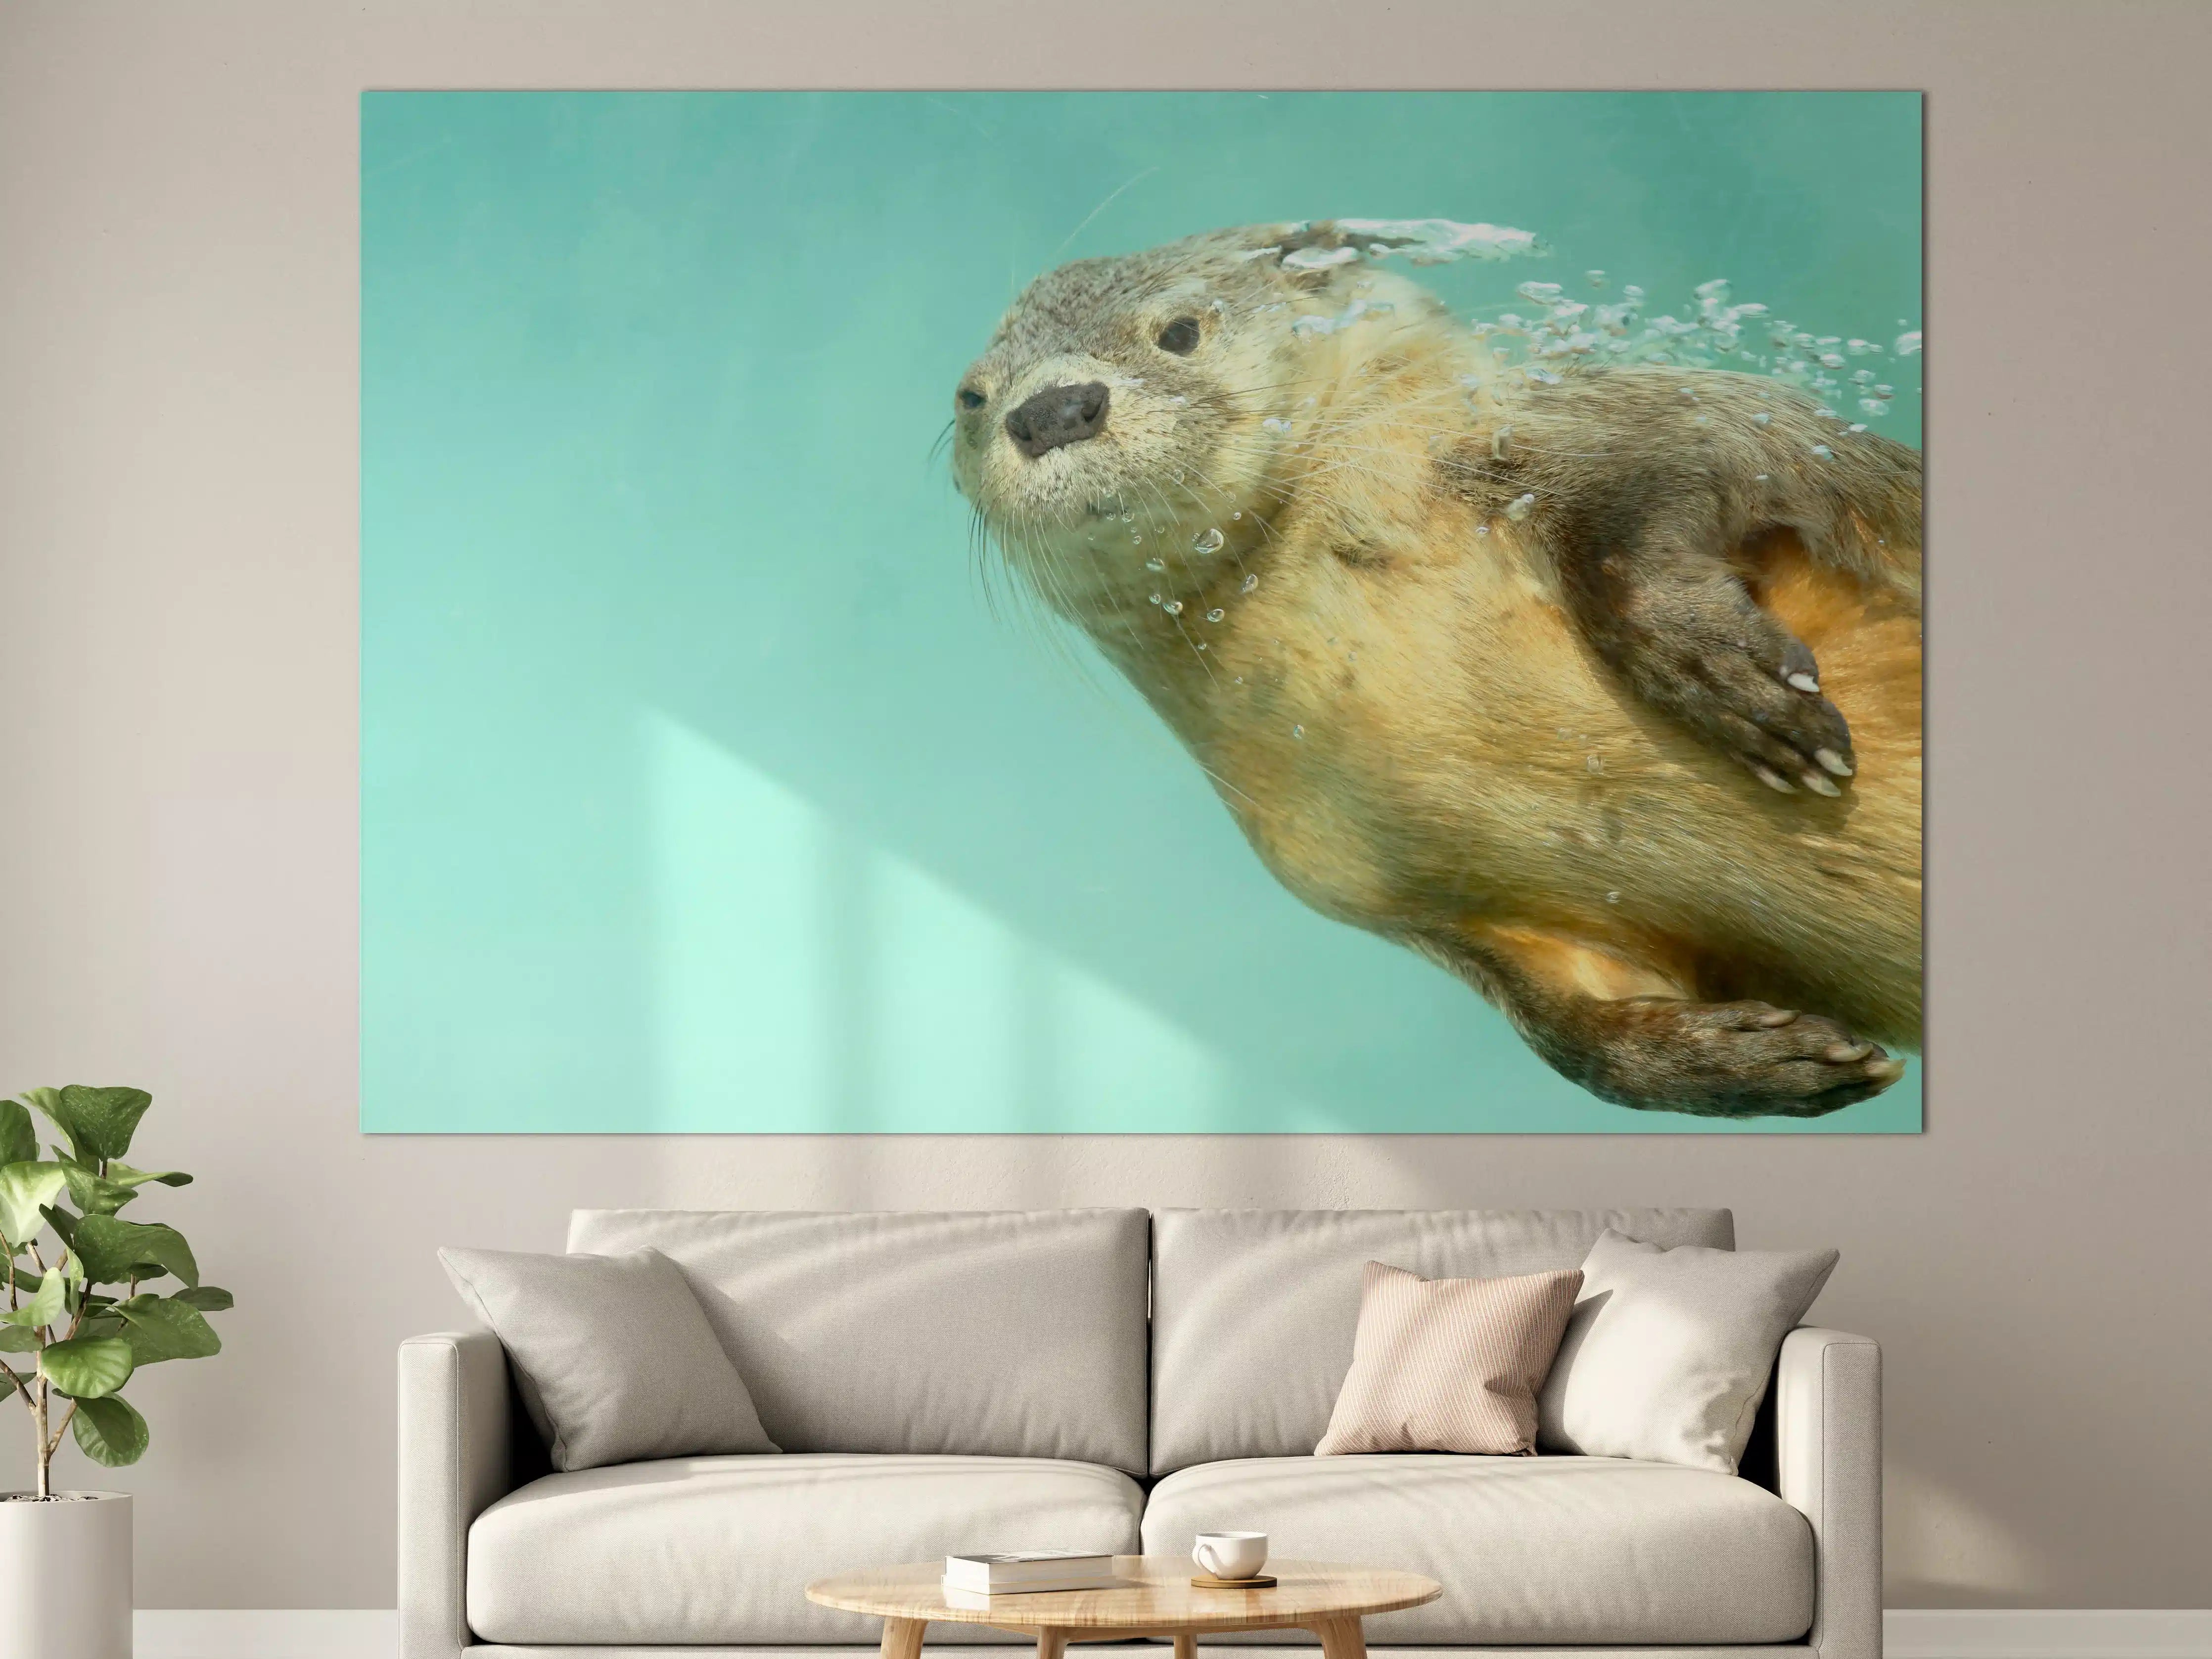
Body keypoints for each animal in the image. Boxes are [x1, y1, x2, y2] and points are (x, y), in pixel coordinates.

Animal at [950, 220, 1921, 1119]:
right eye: (971, 395)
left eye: (1180, 331)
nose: (1052, 410)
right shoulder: (1405, 899)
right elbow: (1577, 1041)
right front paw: (1754, 1060)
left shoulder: (1638, 419)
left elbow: (1687, 468)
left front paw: (1735, 684)